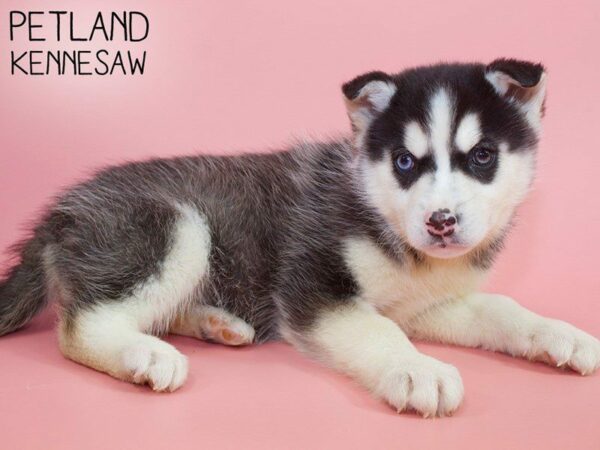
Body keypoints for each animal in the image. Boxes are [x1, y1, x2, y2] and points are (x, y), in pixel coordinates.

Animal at [1, 59, 600, 414]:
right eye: (405, 162)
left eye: (482, 156)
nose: (441, 221)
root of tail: (57, 214)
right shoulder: (313, 285)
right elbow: (377, 330)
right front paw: (417, 370)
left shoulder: (426, 305)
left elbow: (499, 308)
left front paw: (559, 335)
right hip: (175, 226)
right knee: (80, 328)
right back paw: (145, 354)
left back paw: (216, 324)